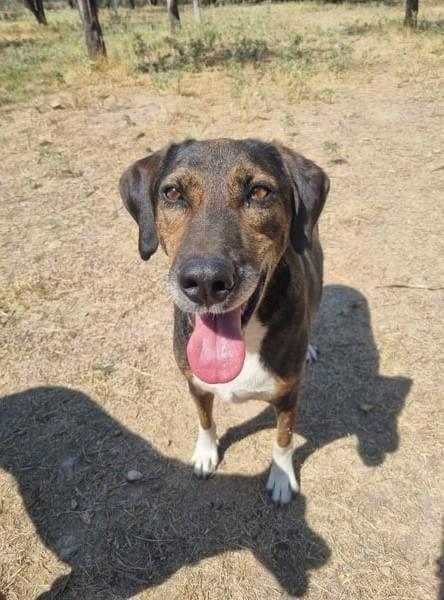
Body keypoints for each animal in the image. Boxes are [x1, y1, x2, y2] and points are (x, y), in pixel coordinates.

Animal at [119, 138, 329, 504]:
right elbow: (205, 420)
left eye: (259, 192)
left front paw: (281, 478)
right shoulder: (195, 384)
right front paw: (206, 454)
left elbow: (284, 440)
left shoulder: (288, 395)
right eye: (172, 193)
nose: (205, 281)